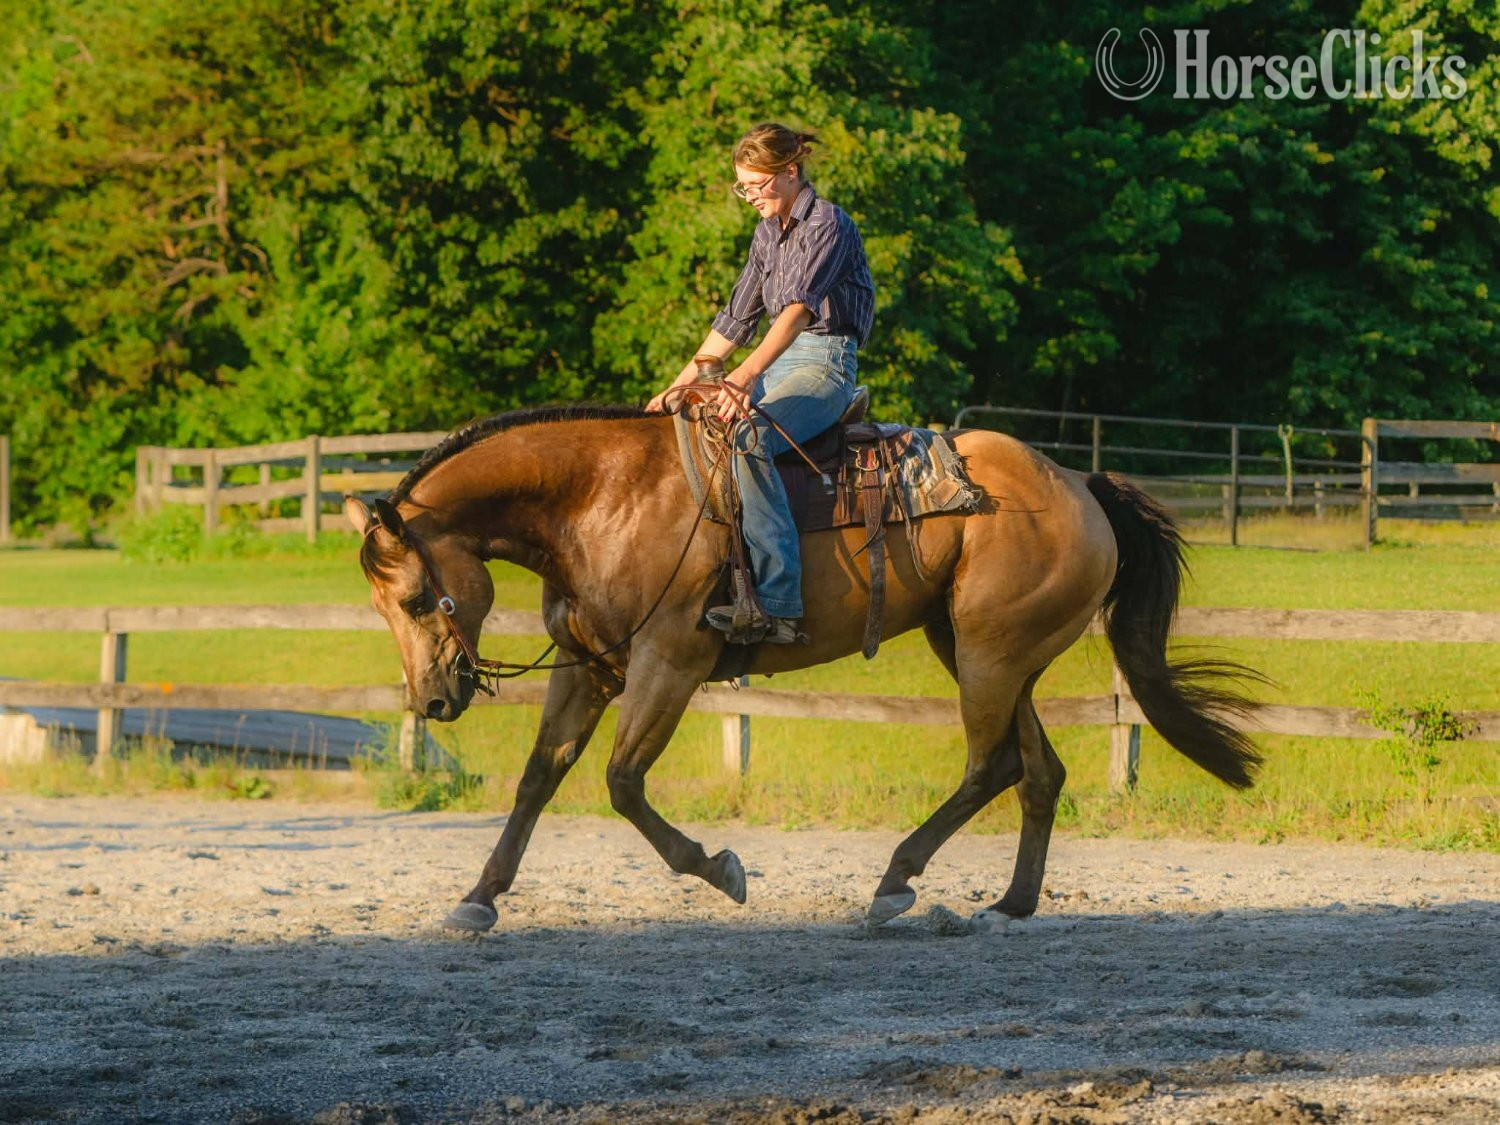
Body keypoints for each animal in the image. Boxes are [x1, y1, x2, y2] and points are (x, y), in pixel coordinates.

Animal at [346, 404, 1261, 933]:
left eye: (420, 597)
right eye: (385, 606)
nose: (432, 701)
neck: (601, 496)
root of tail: (1078, 483)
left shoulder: (669, 662)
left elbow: (622, 782)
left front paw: (720, 869)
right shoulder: (589, 666)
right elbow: (540, 777)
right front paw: (480, 896)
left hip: (990, 655)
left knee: (992, 762)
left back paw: (895, 881)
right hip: (985, 652)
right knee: (1039, 771)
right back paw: (1011, 903)